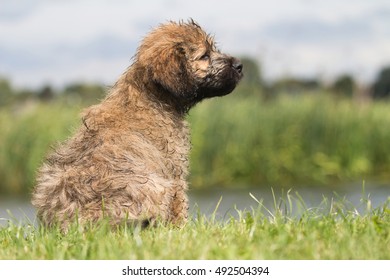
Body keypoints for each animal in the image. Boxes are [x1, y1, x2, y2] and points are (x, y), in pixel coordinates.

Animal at [32, 20, 242, 230]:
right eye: (204, 56)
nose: (240, 65)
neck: (152, 95)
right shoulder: (174, 170)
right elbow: (179, 205)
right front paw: (182, 230)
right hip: (155, 187)